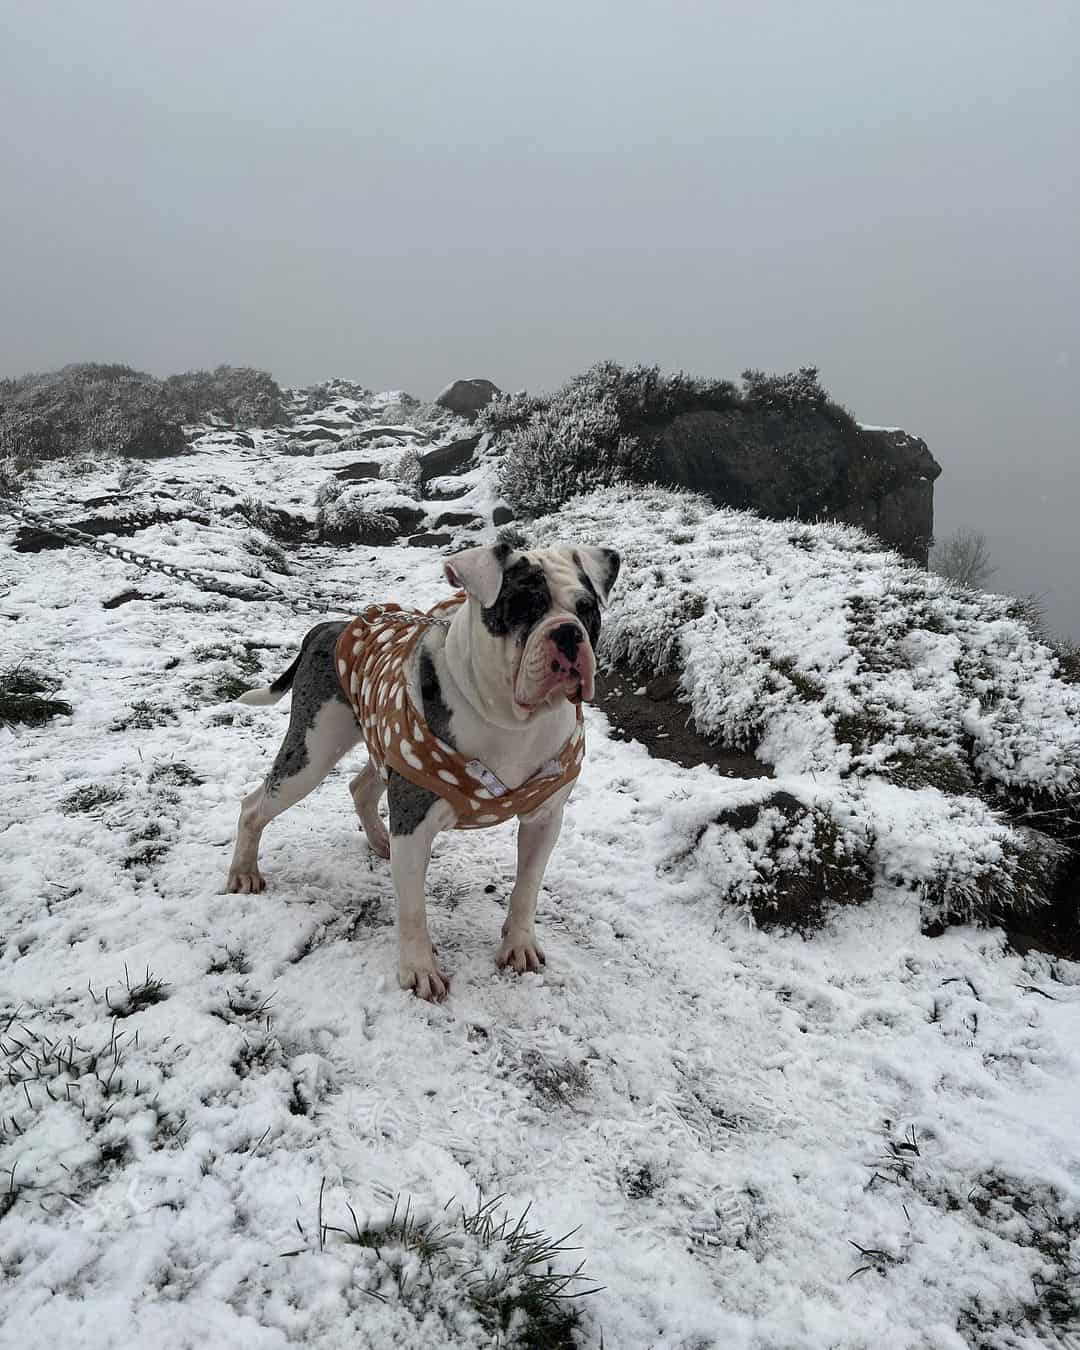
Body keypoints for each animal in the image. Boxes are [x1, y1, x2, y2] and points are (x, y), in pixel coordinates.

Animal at [224, 540, 621, 1004]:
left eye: (587, 609)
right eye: (523, 606)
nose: (567, 633)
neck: (509, 721)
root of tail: (329, 626)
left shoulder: (544, 820)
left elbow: (526, 889)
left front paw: (519, 945)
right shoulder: (414, 825)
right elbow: (413, 909)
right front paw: (419, 970)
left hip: (379, 746)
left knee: (360, 786)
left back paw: (379, 840)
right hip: (312, 754)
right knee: (254, 807)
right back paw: (244, 872)